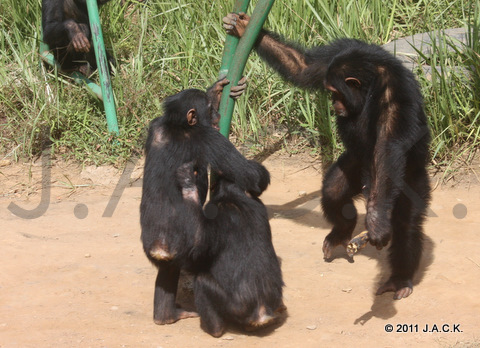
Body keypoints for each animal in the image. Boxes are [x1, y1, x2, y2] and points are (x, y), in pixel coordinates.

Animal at [141, 77, 272, 324]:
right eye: (210, 111)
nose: (217, 116)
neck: (178, 125)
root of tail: (160, 245)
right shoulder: (209, 137)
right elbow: (248, 175)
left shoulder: (154, 125)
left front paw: (216, 90)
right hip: (188, 246)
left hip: (161, 252)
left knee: (167, 271)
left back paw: (166, 315)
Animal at [174, 161, 284, 338]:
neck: (232, 194)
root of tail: (261, 314)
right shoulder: (258, 203)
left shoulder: (211, 210)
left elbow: (194, 254)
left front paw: (187, 180)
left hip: (235, 307)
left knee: (202, 281)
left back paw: (214, 329)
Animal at [224, 12, 432, 300]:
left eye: (335, 93)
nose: (334, 104)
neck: (371, 83)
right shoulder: (332, 60)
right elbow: (303, 66)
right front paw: (244, 25)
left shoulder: (395, 100)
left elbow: (387, 150)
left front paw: (377, 223)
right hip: (356, 166)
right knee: (334, 190)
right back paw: (341, 233)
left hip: (410, 178)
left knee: (406, 223)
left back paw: (400, 278)